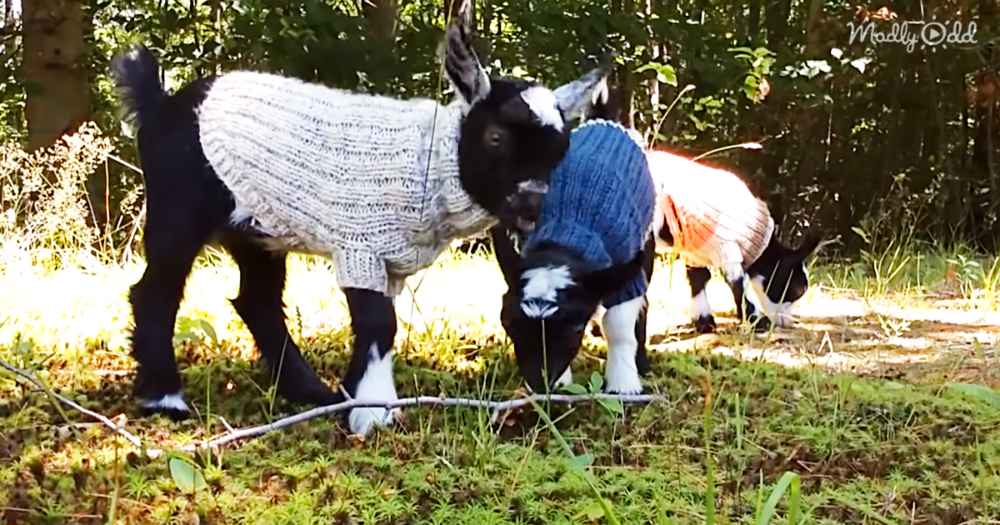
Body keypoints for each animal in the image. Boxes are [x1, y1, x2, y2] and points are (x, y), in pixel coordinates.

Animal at [111, 21, 608, 436]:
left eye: (560, 149)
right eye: (496, 138)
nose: (533, 203)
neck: (429, 166)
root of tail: (161, 105)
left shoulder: (389, 263)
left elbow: (381, 323)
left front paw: (354, 397)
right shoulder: (361, 244)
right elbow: (379, 324)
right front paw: (372, 413)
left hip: (255, 226)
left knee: (258, 300)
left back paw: (310, 392)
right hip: (177, 205)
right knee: (156, 290)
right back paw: (165, 398)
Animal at [491, 87, 657, 395]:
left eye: (573, 330)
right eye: (509, 324)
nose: (540, 382)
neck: (568, 235)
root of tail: (604, 120)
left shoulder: (626, 270)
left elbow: (619, 324)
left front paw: (624, 384)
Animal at [647, 149, 820, 333]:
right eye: (796, 291)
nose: (787, 322)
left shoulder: (696, 250)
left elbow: (699, 279)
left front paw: (704, 321)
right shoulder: (726, 245)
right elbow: (738, 284)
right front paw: (758, 321)